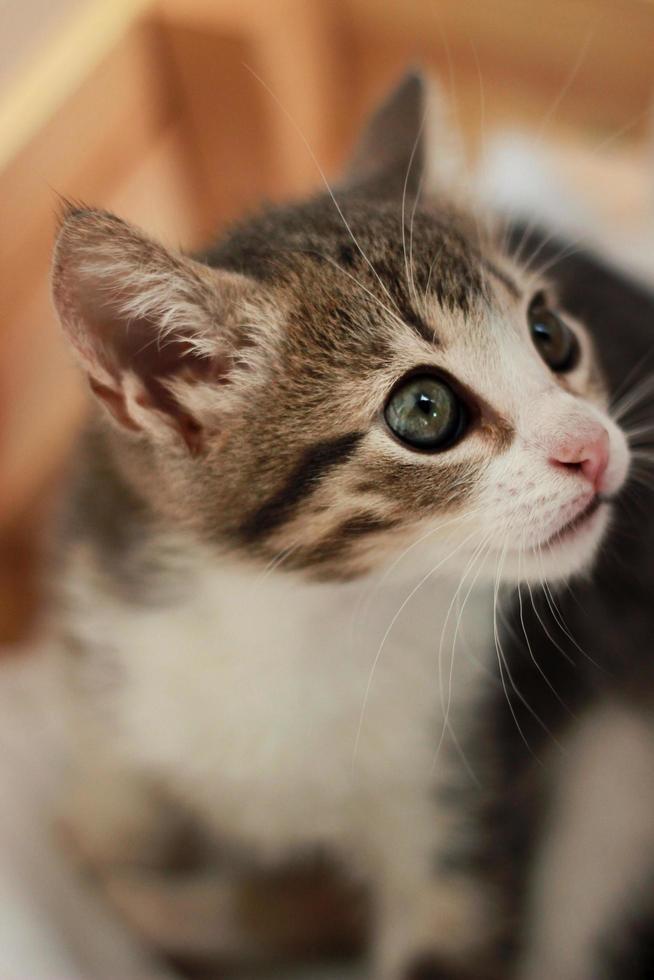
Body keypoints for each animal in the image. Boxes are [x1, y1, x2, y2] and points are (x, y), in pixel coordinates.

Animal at [48, 71, 632, 980]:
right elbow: (111, 814)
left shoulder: (464, 789)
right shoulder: (106, 643)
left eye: (550, 335)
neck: (296, 615)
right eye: (424, 409)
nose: (595, 449)